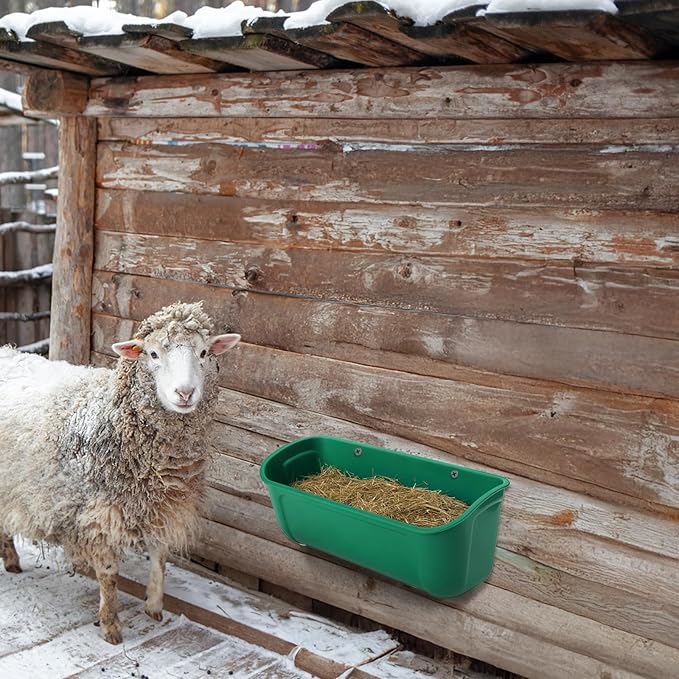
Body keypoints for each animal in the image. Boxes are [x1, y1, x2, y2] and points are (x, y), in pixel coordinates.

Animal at [0, 301, 240, 644]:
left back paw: (11, 560)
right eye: (152, 354)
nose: (185, 393)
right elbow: (109, 574)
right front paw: (110, 624)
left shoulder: (162, 506)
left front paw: (154, 605)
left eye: (204, 352)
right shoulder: (101, 516)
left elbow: (160, 557)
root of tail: (6, 352)